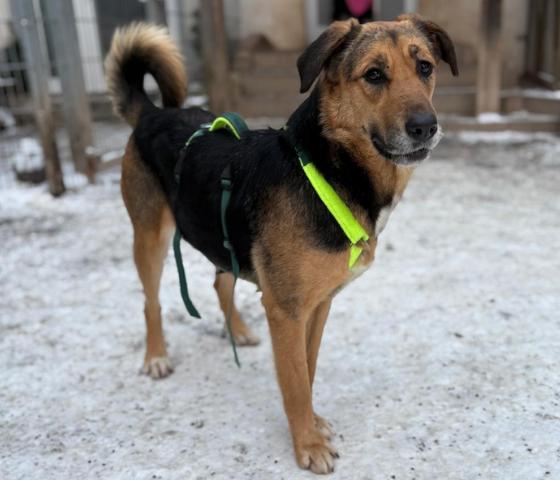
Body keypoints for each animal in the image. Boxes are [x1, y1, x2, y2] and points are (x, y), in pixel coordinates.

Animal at [105, 15, 457, 474]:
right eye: (374, 75)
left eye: (425, 67)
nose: (425, 127)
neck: (329, 168)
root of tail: (153, 113)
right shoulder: (287, 310)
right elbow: (295, 383)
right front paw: (308, 445)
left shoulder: (318, 304)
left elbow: (307, 370)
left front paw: (312, 423)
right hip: (150, 238)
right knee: (151, 302)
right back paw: (156, 357)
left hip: (221, 237)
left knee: (220, 282)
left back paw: (238, 331)